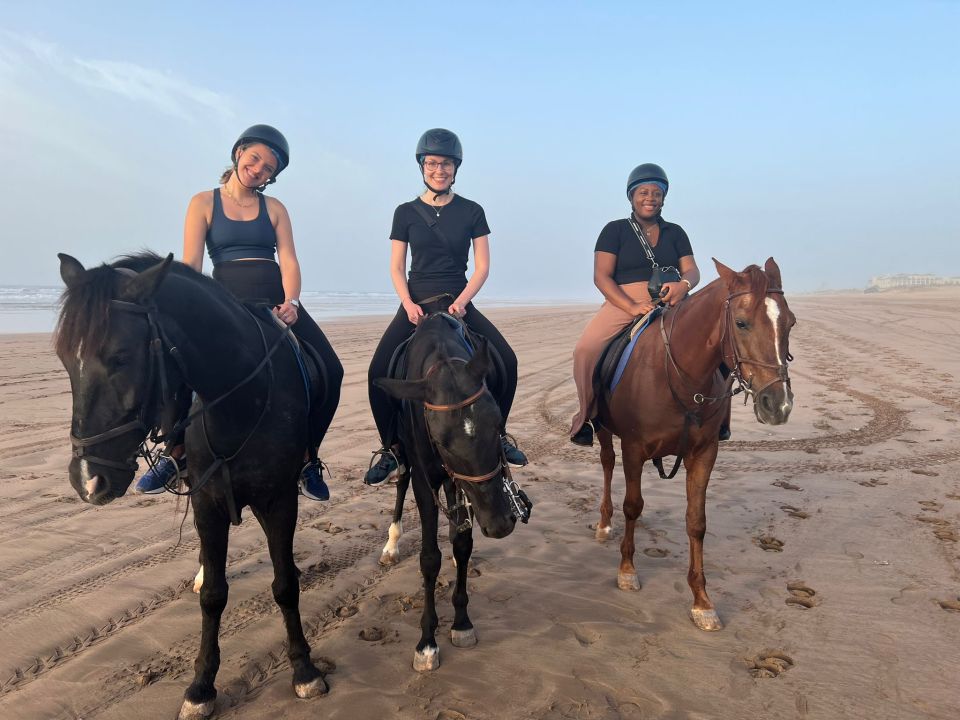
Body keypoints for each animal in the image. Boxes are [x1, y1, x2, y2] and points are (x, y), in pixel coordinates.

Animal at [57, 252, 334, 716]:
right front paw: (201, 686)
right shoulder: (207, 500)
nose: (87, 480)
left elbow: (285, 585)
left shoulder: (278, 499)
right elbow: (214, 597)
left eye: (120, 357)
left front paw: (304, 670)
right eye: (63, 358)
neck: (241, 398)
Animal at [374, 312, 528, 672]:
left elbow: (462, 544)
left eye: (497, 425)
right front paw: (427, 643)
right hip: (406, 459)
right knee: (400, 480)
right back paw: (391, 543)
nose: (500, 525)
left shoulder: (464, 485)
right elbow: (430, 558)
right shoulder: (425, 480)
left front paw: (461, 622)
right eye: (442, 441)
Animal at [600, 258, 796, 632]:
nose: (777, 405)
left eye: (790, 322)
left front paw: (702, 601)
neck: (681, 376)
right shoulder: (633, 449)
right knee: (606, 464)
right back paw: (603, 524)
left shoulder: (704, 454)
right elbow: (633, 505)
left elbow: (696, 522)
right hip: (602, 430)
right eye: (741, 323)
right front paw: (627, 570)